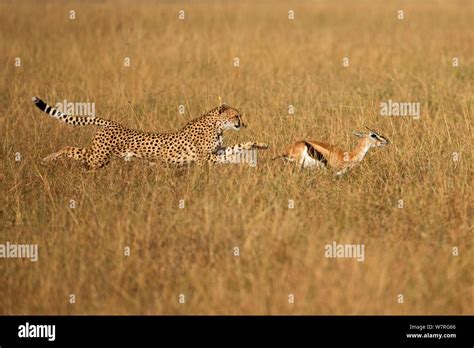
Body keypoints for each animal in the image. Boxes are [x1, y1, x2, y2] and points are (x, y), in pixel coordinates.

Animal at [32, 97, 268, 171]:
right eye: (235, 116)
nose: (242, 123)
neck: (216, 124)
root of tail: (113, 124)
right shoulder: (205, 159)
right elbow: (225, 157)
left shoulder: (217, 152)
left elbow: (237, 148)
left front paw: (259, 145)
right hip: (97, 157)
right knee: (68, 148)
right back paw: (47, 159)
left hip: (99, 159)